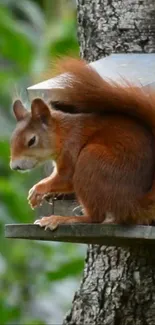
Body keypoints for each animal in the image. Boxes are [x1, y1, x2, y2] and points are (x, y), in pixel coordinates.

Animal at [9, 57, 155, 230]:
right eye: (12, 139)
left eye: (32, 140)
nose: (15, 166)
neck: (63, 133)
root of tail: (134, 204)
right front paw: (49, 193)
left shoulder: (71, 147)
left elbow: (66, 178)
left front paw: (38, 189)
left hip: (90, 160)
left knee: (95, 218)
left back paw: (61, 219)